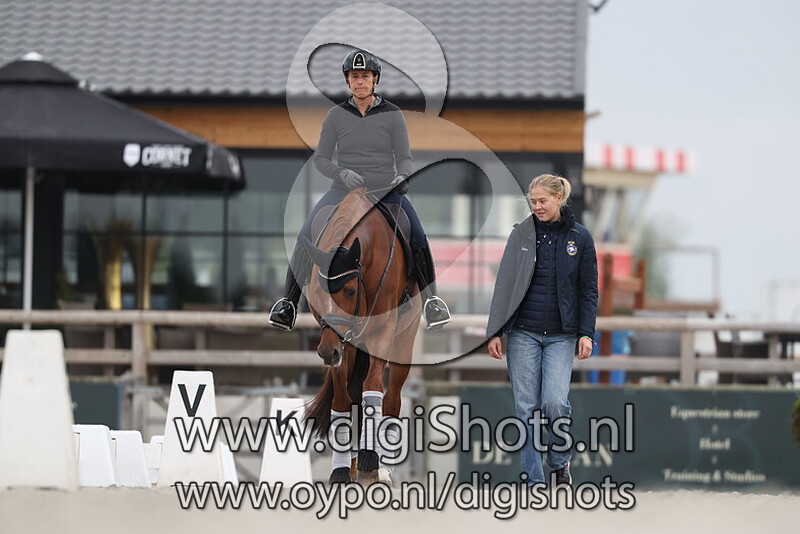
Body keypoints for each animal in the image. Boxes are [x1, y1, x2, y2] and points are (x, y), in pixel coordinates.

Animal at [302, 188, 422, 486]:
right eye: (318, 292)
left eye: (351, 291)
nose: (326, 352)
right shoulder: (339, 343)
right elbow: (342, 400)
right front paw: (341, 470)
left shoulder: (383, 332)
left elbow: (373, 387)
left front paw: (369, 462)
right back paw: (355, 465)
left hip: (403, 342)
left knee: (391, 400)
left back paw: (382, 467)